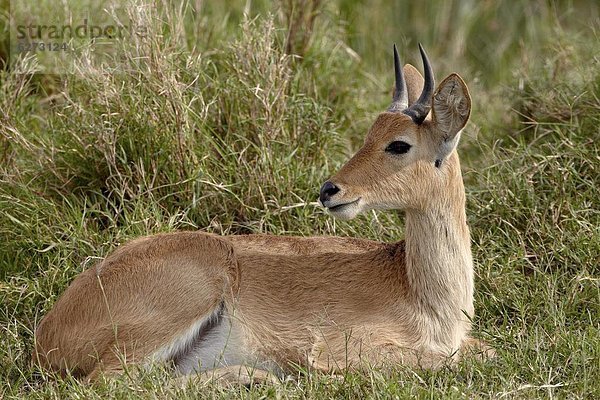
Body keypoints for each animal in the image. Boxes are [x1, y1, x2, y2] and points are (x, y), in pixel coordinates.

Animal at [32, 44, 490, 384]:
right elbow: (443, 359)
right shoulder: (331, 350)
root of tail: (46, 333)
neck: (420, 291)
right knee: (112, 381)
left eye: (398, 143)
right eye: (370, 134)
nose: (330, 190)